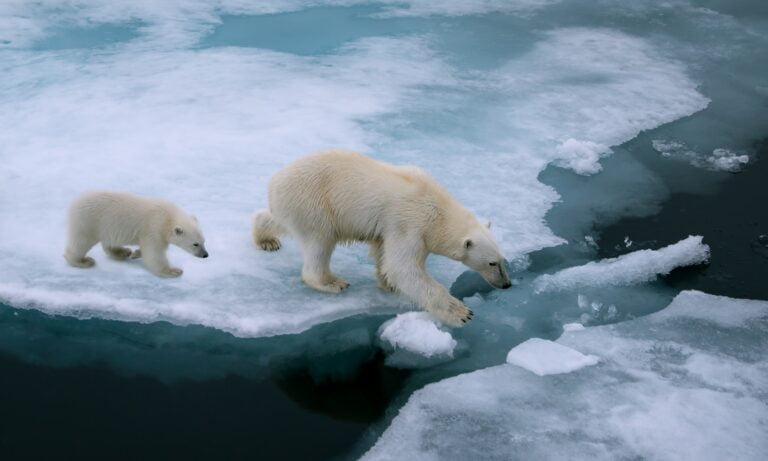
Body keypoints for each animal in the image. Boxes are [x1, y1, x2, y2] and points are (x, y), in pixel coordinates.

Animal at [64, 190, 208, 276]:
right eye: (195, 244)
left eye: (204, 241)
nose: (205, 255)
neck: (167, 217)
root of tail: (74, 203)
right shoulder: (153, 228)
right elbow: (154, 254)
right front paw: (174, 271)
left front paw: (136, 253)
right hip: (88, 222)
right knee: (81, 242)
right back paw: (83, 261)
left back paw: (123, 252)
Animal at [252, 149, 512, 326]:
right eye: (492, 263)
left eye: (503, 260)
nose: (507, 284)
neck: (437, 207)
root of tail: (274, 183)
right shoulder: (410, 223)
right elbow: (403, 268)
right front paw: (461, 313)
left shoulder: (392, 227)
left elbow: (384, 253)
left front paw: (387, 283)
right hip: (314, 204)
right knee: (320, 243)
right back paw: (332, 282)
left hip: (293, 207)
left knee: (278, 220)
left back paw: (265, 238)